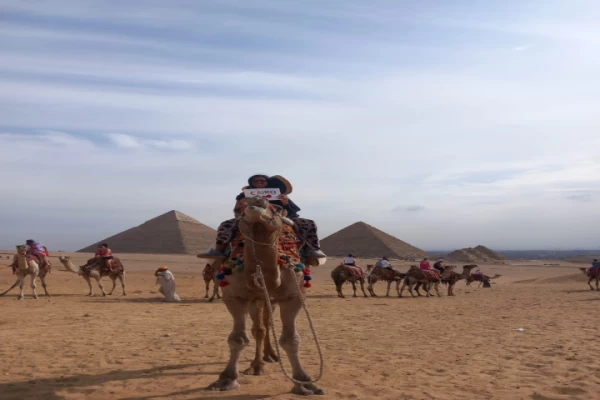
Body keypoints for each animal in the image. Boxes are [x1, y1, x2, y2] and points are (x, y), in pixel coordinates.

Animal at [209, 195, 326, 396]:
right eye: (242, 207)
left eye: (277, 209)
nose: (257, 200)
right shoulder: (234, 296)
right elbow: (238, 338)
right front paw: (226, 379)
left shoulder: (294, 296)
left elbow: (291, 340)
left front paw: (304, 382)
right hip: (257, 299)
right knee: (259, 329)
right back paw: (257, 365)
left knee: (267, 323)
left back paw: (270, 355)